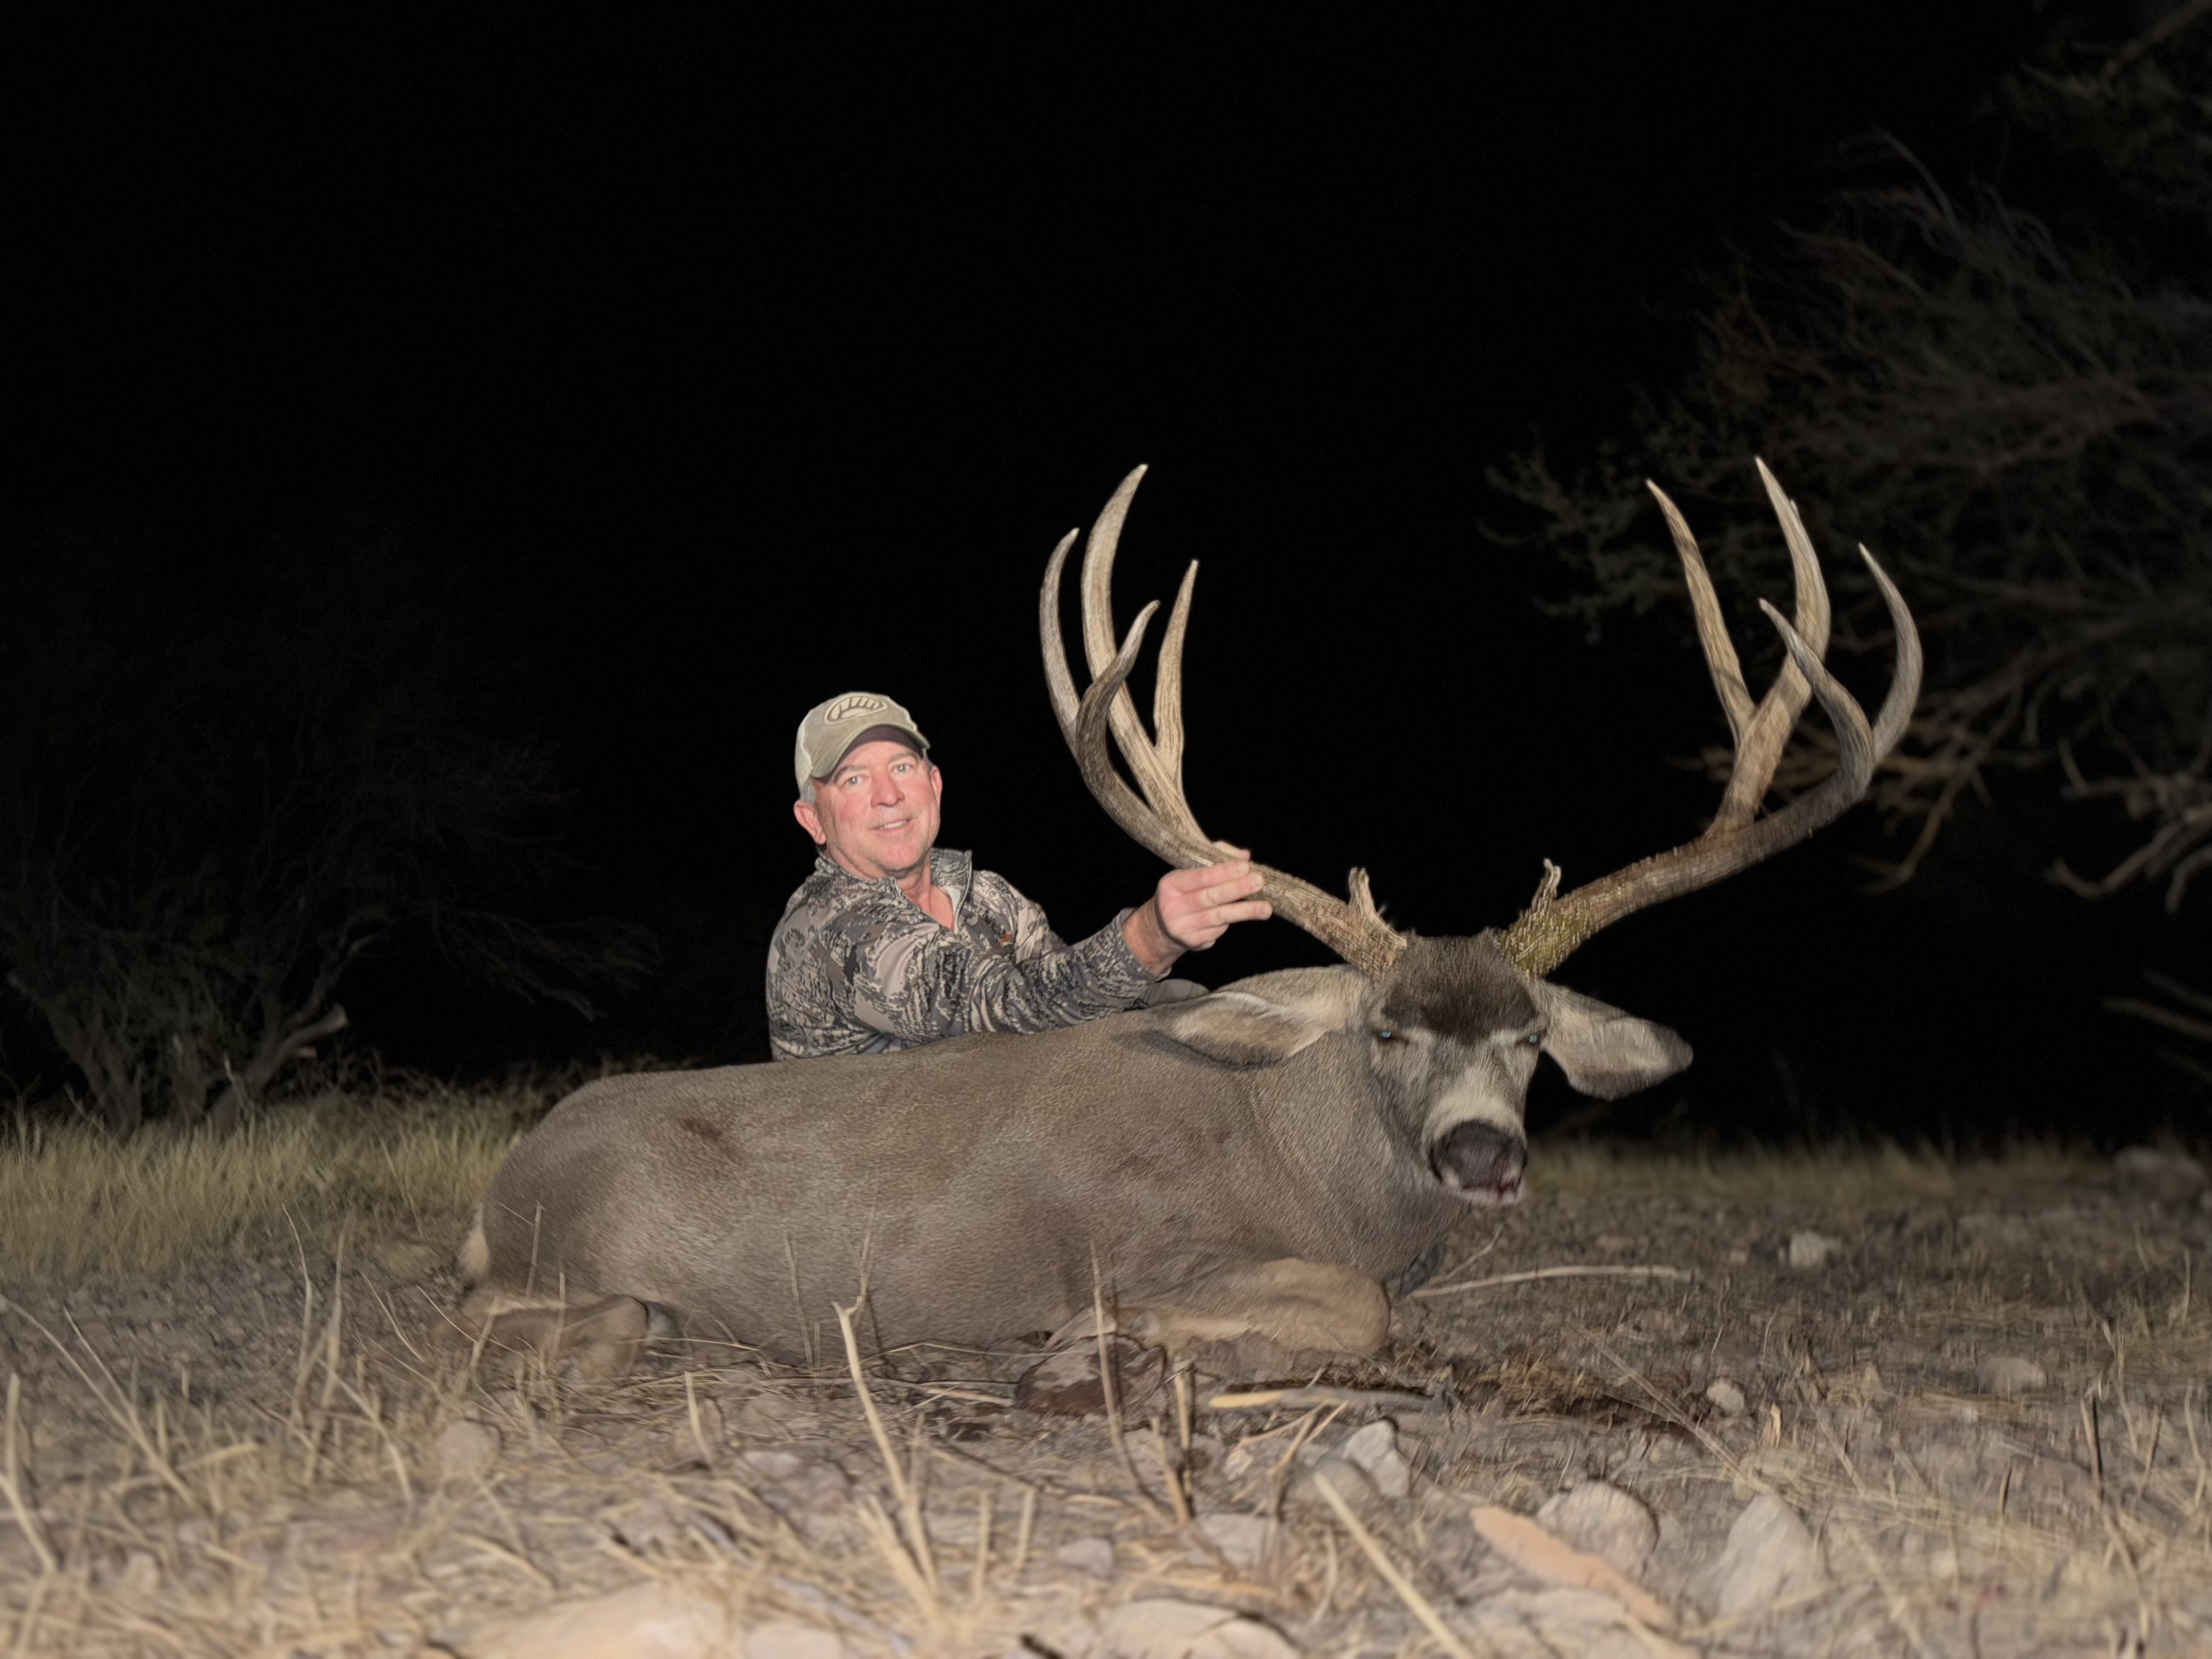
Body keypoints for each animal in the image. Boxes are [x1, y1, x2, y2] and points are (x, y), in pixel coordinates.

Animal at [456, 462, 1919, 1378]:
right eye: (1386, 1032)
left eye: (1530, 1040)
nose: (1481, 1154)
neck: (1303, 1157)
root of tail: (505, 1184)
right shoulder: (1147, 1248)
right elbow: (1356, 1310)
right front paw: (1099, 1350)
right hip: (571, 1256)